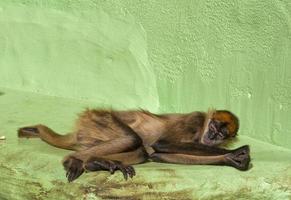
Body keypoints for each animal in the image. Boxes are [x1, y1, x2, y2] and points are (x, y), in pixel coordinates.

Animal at [17, 108, 251, 182]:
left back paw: (94, 163)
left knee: (141, 152)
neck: (201, 128)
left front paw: (229, 158)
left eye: (221, 133)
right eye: (213, 126)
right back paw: (72, 161)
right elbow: (163, 144)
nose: (212, 136)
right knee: (134, 141)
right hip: (100, 119)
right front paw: (233, 151)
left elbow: (159, 154)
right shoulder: (195, 119)